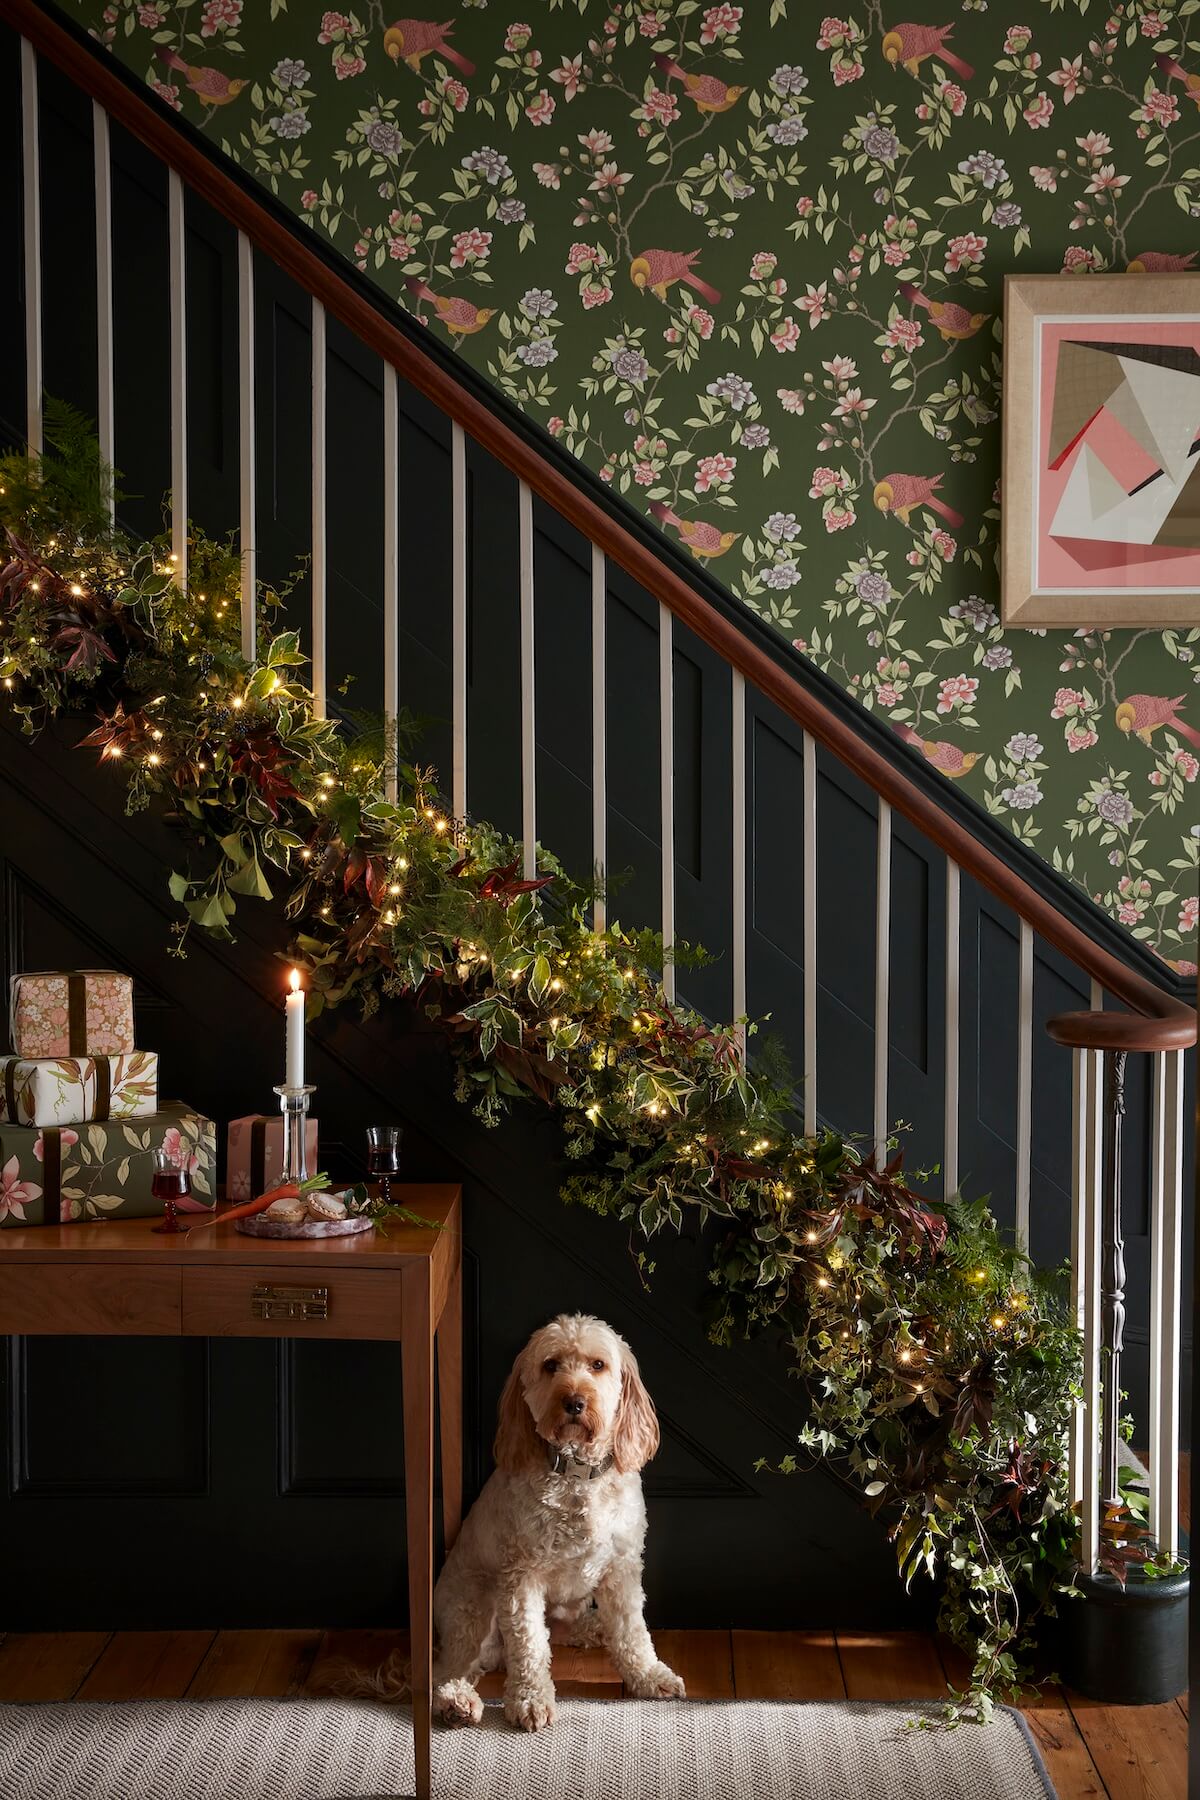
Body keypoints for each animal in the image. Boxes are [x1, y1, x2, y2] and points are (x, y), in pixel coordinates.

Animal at [437, 1324, 683, 1728]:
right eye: (550, 1365)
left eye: (598, 1365)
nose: (574, 1402)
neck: (577, 1474)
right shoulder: (521, 1576)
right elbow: (529, 1645)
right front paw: (530, 1700)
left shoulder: (622, 1566)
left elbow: (631, 1630)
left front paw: (649, 1675)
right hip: (474, 1608)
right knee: (448, 1669)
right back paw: (456, 1702)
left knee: (566, 1629)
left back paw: (595, 1629)